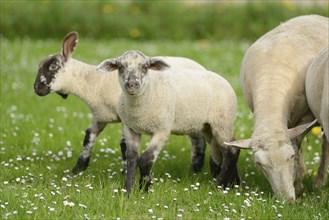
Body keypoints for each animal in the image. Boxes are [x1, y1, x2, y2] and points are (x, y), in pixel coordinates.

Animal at [34, 31, 208, 174]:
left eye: (53, 66)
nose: (36, 89)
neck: (95, 83)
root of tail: (202, 68)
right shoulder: (100, 116)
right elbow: (89, 136)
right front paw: (77, 169)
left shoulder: (126, 117)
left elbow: (124, 145)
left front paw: (125, 171)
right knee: (197, 138)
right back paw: (195, 169)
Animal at [96, 49, 240, 192]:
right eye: (120, 67)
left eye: (145, 67)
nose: (132, 85)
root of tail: (222, 79)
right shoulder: (130, 128)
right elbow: (132, 158)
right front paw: (128, 191)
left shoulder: (162, 130)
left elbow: (145, 159)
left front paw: (145, 188)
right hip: (207, 127)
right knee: (224, 151)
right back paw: (234, 184)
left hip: (223, 122)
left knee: (231, 151)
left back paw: (220, 185)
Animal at [224, 14, 326, 203]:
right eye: (259, 164)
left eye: (290, 156)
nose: (287, 201)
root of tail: (314, 15)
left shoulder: (305, 117)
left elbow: (297, 144)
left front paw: (298, 184)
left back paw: (319, 181)